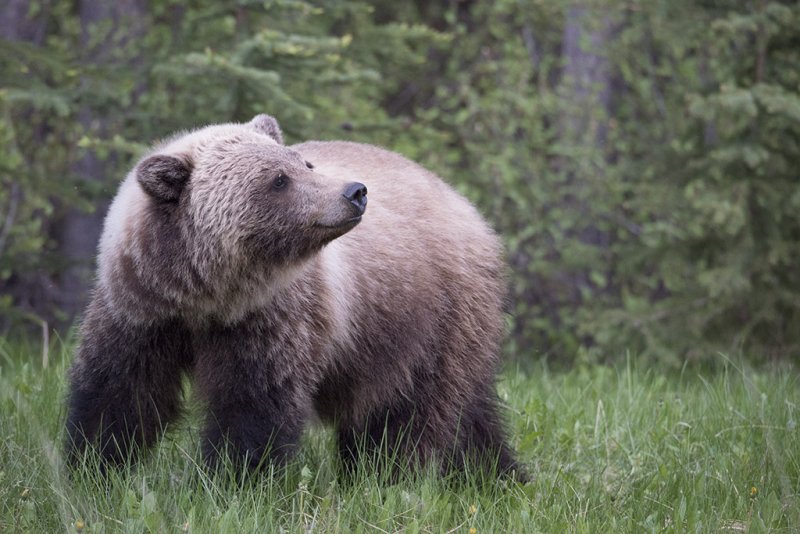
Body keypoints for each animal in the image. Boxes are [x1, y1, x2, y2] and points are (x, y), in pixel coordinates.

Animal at [64, 114, 524, 482]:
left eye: (304, 163)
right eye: (278, 180)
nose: (355, 192)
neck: (206, 297)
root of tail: (464, 205)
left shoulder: (273, 317)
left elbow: (253, 404)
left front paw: (231, 481)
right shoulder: (140, 311)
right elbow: (120, 392)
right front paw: (93, 467)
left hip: (428, 316)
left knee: (409, 408)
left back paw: (388, 476)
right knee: (470, 413)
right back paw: (494, 475)